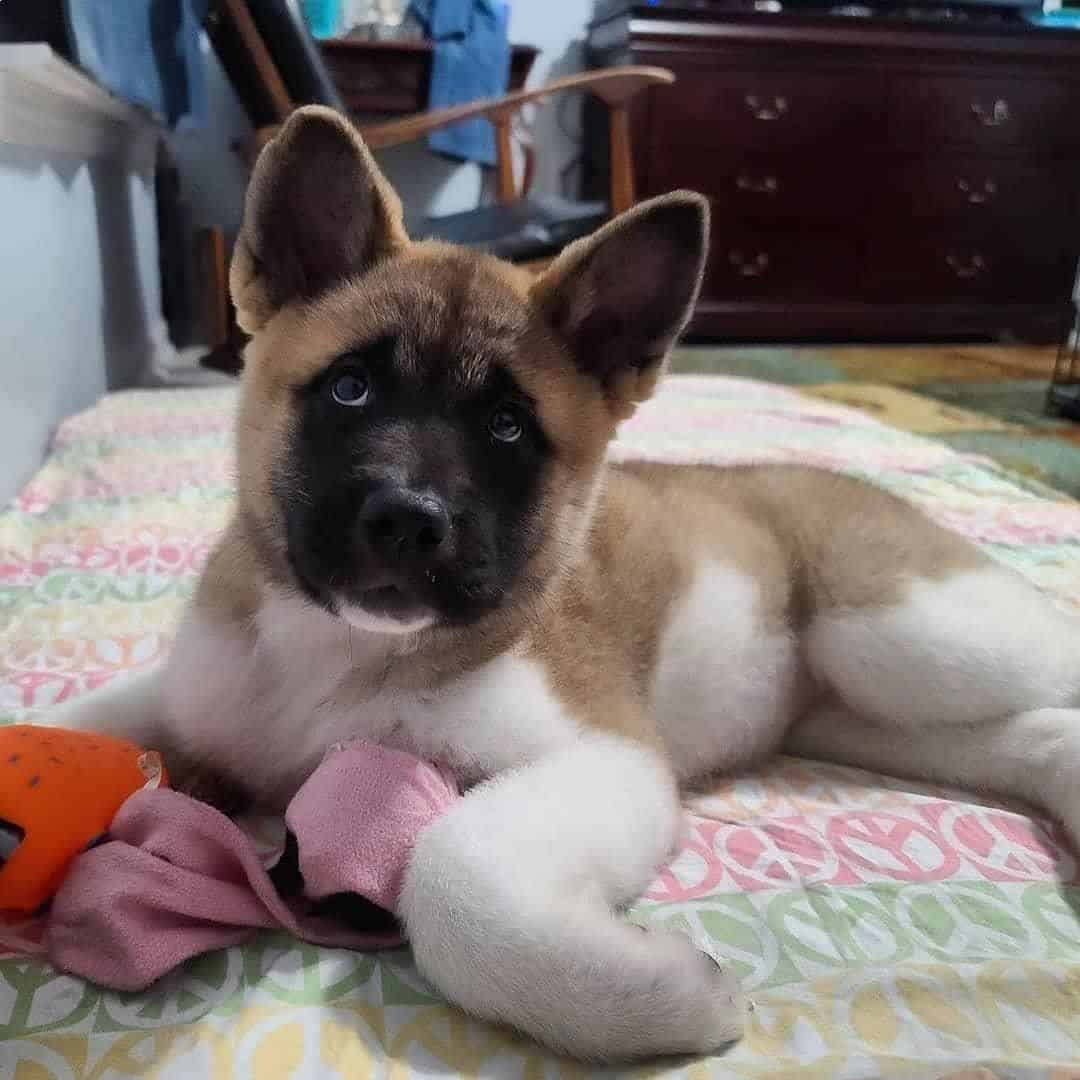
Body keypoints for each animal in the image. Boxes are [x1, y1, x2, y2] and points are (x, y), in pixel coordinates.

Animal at [50, 105, 1080, 1058]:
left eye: (507, 427)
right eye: (350, 389)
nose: (408, 521)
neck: (334, 653)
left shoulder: (606, 758)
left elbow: (450, 868)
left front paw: (666, 998)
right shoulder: (190, 692)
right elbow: (70, 722)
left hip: (914, 638)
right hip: (871, 709)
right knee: (1036, 734)